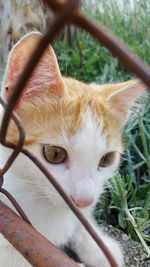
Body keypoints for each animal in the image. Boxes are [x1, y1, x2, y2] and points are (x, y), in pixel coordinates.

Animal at [0, 31, 146, 267]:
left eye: (107, 159)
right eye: (54, 153)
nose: (84, 200)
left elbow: (81, 222)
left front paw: (99, 246)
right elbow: (20, 256)